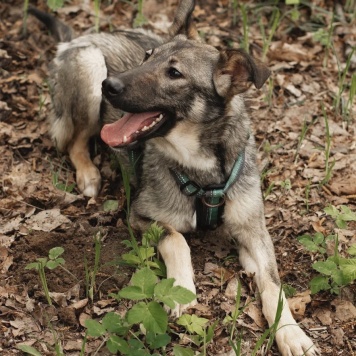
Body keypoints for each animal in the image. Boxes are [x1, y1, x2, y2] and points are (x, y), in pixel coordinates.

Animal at [30, 1, 318, 354]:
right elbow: (176, 239)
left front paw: (291, 332)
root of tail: (77, 38)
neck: (205, 171)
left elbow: (274, 286)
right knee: (74, 142)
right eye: (147, 57)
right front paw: (180, 286)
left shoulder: (254, 231)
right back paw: (88, 173)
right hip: (90, 68)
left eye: (174, 74)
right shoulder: (141, 216)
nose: (109, 86)